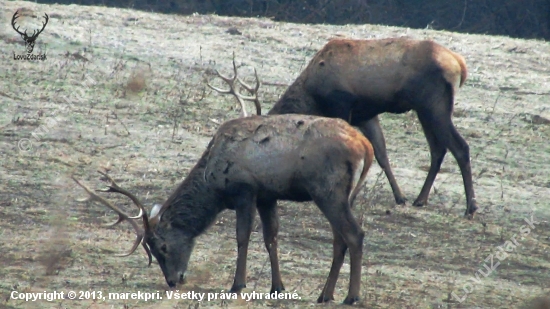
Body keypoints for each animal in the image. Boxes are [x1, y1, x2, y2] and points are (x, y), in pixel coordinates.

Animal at [72, 112, 376, 304]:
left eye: (162, 247)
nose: (173, 280)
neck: (212, 182)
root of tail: (366, 147)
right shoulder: (267, 196)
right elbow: (271, 238)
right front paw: (277, 288)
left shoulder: (245, 189)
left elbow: (242, 237)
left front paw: (237, 285)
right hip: (344, 194)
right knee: (339, 239)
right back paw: (325, 294)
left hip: (327, 189)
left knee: (355, 234)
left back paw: (351, 296)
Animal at [207, 36, 478, 217]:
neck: (313, 94)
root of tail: (460, 65)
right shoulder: (365, 114)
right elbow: (381, 154)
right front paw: (399, 197)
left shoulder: (342, 104)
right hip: (426, 108)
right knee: (438, 149)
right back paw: (420, 199)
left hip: (433, 104)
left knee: (460, 146)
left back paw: (470, 207)